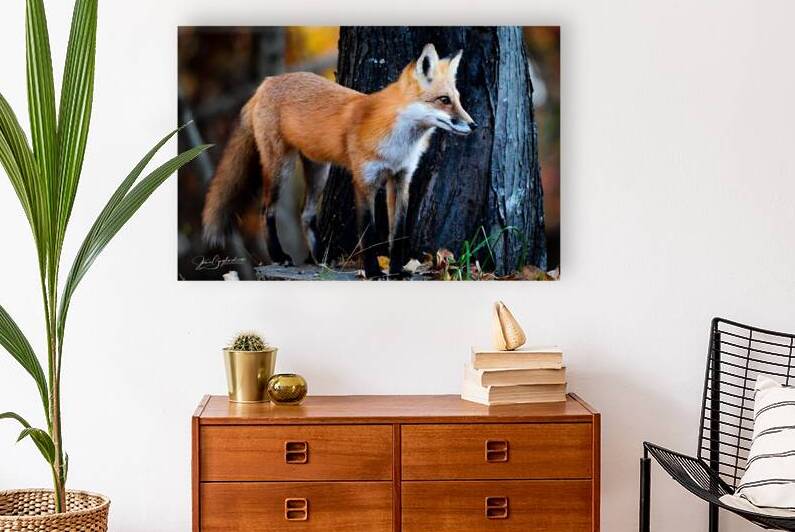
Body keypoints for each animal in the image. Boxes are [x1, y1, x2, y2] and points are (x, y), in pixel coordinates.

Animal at [202, 43, 476, 279]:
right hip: (281, 165)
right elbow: (368, 232)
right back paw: (280, 255)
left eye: (458, 99)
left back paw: (321, 258)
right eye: (444, 100)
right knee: (266, 208)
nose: (473, 125)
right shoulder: (364, 180)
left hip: (319, 170)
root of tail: (267, 82)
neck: (398, 144)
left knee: (306, 214)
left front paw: (397, 271)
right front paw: (374, 272)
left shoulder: (401, 179)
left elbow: (397, 233)